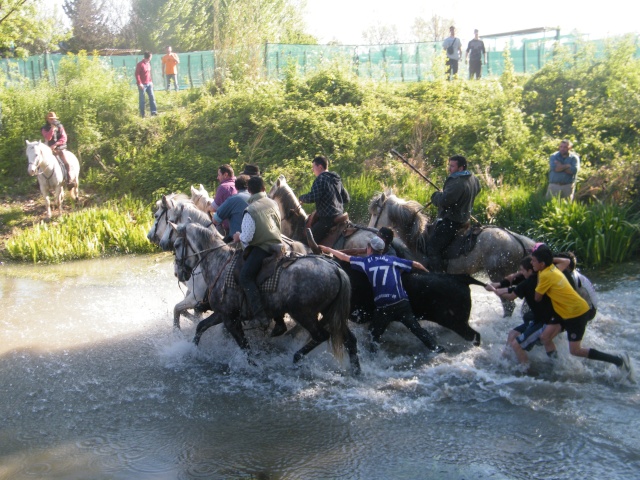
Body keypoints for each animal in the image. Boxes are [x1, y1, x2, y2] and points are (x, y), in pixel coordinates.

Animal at [171, 222, 360, 376]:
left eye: (177, 244)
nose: (178, 274)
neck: (220, 263)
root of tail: (336, 269)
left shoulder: (230, 318)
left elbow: (244, 346)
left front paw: (254, 366)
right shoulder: (223, 314)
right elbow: (201, 327)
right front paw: (192, 350)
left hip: (304, 314)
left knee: (321, 335)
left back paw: (296, 357)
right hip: (330, 314)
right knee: (350, 340)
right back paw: (356, 371)